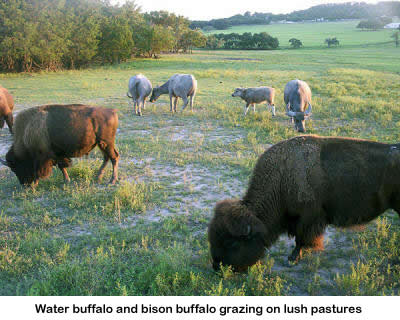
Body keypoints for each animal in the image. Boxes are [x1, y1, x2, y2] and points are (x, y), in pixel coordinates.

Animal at [208, 134, 400, 272]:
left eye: (232, 243)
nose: (217, 267)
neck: (282, 177)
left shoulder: (307, 218)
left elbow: (301, 239)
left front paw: (292, 259)